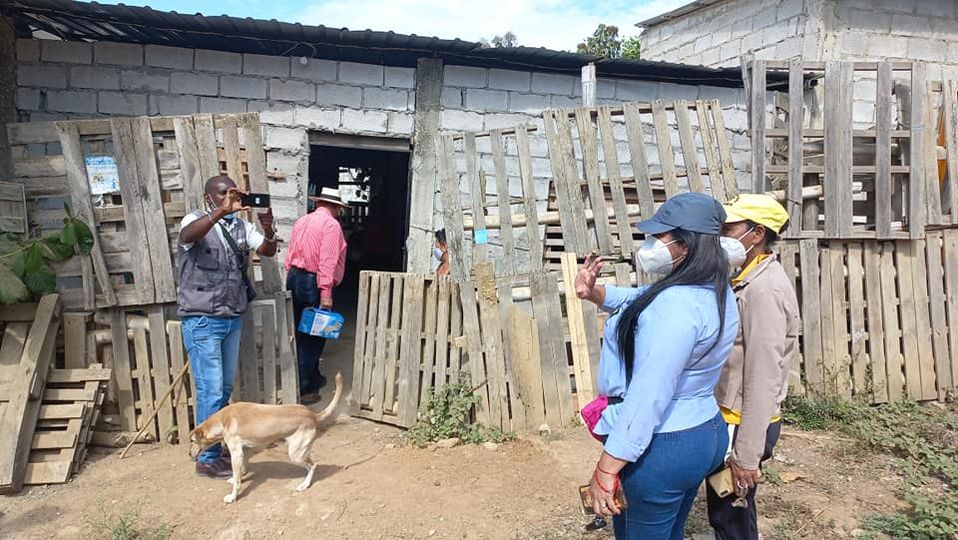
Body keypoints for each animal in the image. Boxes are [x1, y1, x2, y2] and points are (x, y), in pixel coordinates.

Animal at [189, 373, 343, 503]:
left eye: (192, 441)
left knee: (313, 465)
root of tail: (312, 415)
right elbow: (242, 470)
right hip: (301, 450)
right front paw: (236, 478)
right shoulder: (246, 450)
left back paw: (304, 484)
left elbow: (238, 475)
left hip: (295, 454)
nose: (189, 454)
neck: (223, 420)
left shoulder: (236, 453)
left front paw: (233, 496)